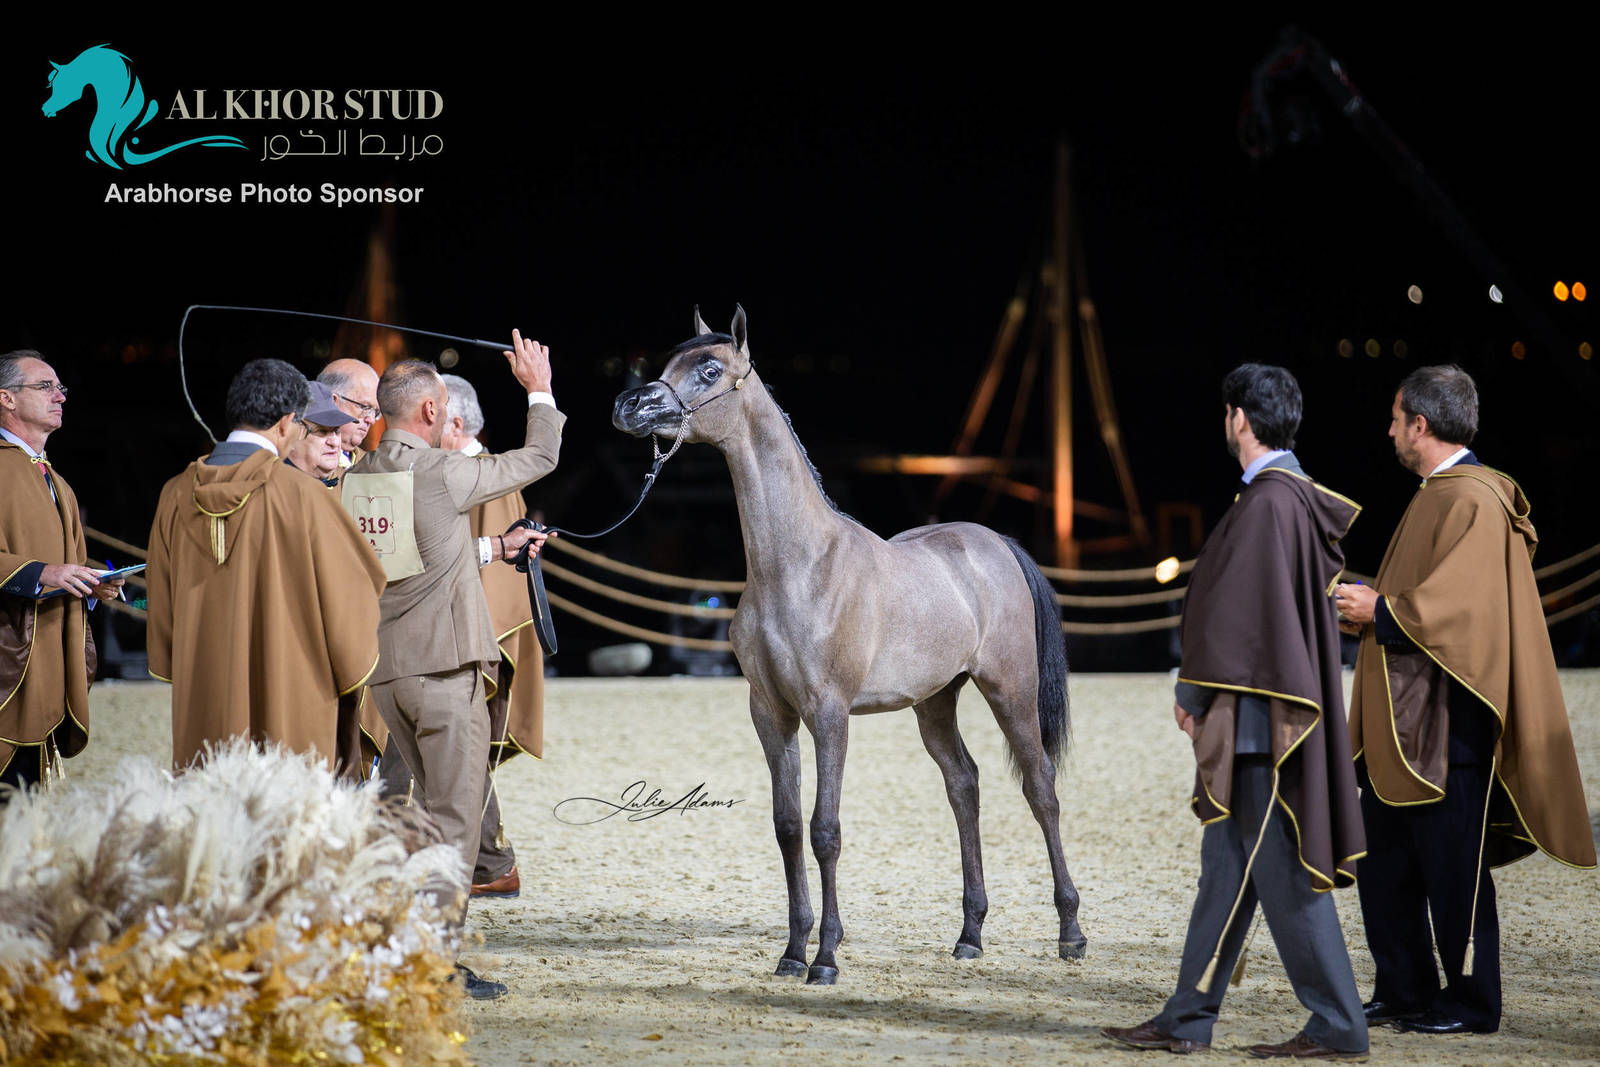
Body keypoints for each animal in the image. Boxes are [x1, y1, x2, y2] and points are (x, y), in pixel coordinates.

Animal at [612, 306, 1087, 985]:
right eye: (667, 362)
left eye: (708, 370)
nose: (629, 405)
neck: (800, 567)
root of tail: (994, 542)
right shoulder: (770, 713)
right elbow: (788, 828)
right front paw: (791, 953)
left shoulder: (829, 714)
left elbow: (825, 830)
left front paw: (827, 958)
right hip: (935, 701)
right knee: (964, 785)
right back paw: (969, 935)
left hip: (1009, 690)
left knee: (1041, 788)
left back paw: (1071, 932)